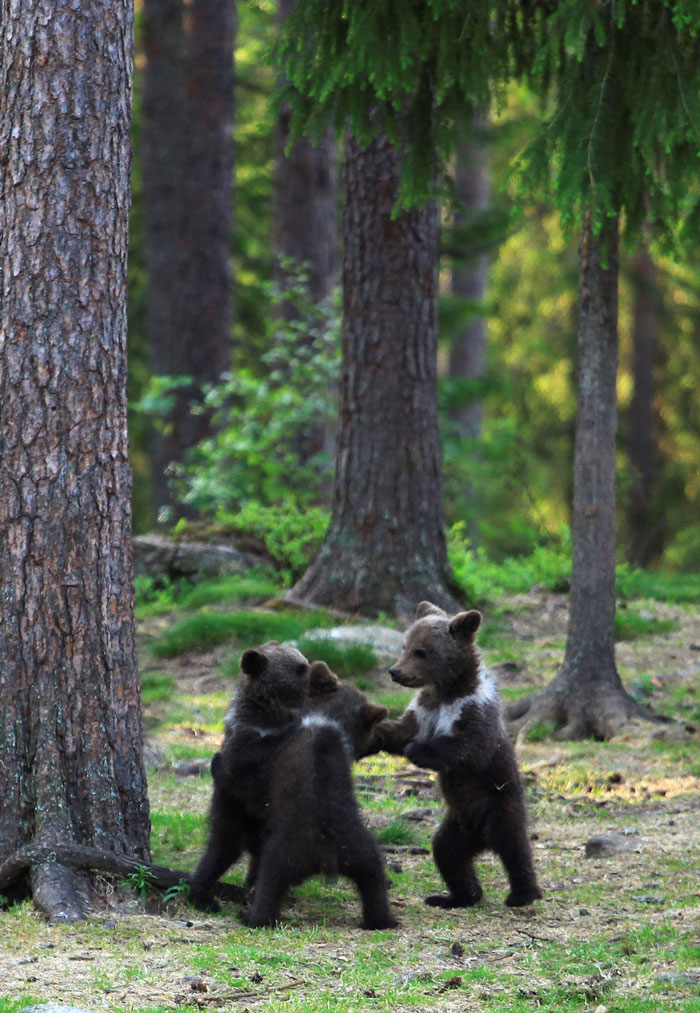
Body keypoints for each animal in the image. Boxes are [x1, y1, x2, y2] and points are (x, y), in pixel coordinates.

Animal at [189, 640, 310, 912]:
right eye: (300, 667)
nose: (315, 677)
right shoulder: (243, 745)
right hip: (232, 809)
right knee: (223, 848)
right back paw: (204, 897)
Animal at [373, 601, 542, 909]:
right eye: (405, 645)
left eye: (421, 651)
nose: (394, 671)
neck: (448, 690)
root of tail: (481, 838)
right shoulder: (425, 709)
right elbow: (403, 729)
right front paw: (375, 730)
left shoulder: (473, 710)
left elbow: (470, 748)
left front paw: (417, 751)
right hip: (457, 824)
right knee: (447, 853)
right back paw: (455, 896)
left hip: (499, 804)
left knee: (514, 847)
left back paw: (523, 893)